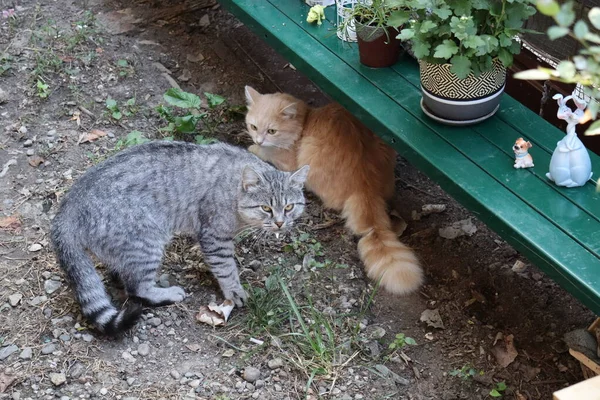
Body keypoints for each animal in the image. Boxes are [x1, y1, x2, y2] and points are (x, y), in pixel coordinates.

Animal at [51, 141, 310, 334]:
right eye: (266, 208)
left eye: (289, 207)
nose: (280, 222)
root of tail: (69, 205)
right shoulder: (214, 237)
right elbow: (226, 268)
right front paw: (235, 292)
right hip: (146, 242)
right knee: (137, 288)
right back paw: (165, 293)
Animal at [244, 86, 422, 294]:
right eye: (253, 127)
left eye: (272, 131)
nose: (258, 140)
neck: (305, 122)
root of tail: (366, 187)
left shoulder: (287, 163)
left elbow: (266, 154)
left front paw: (254, 148)